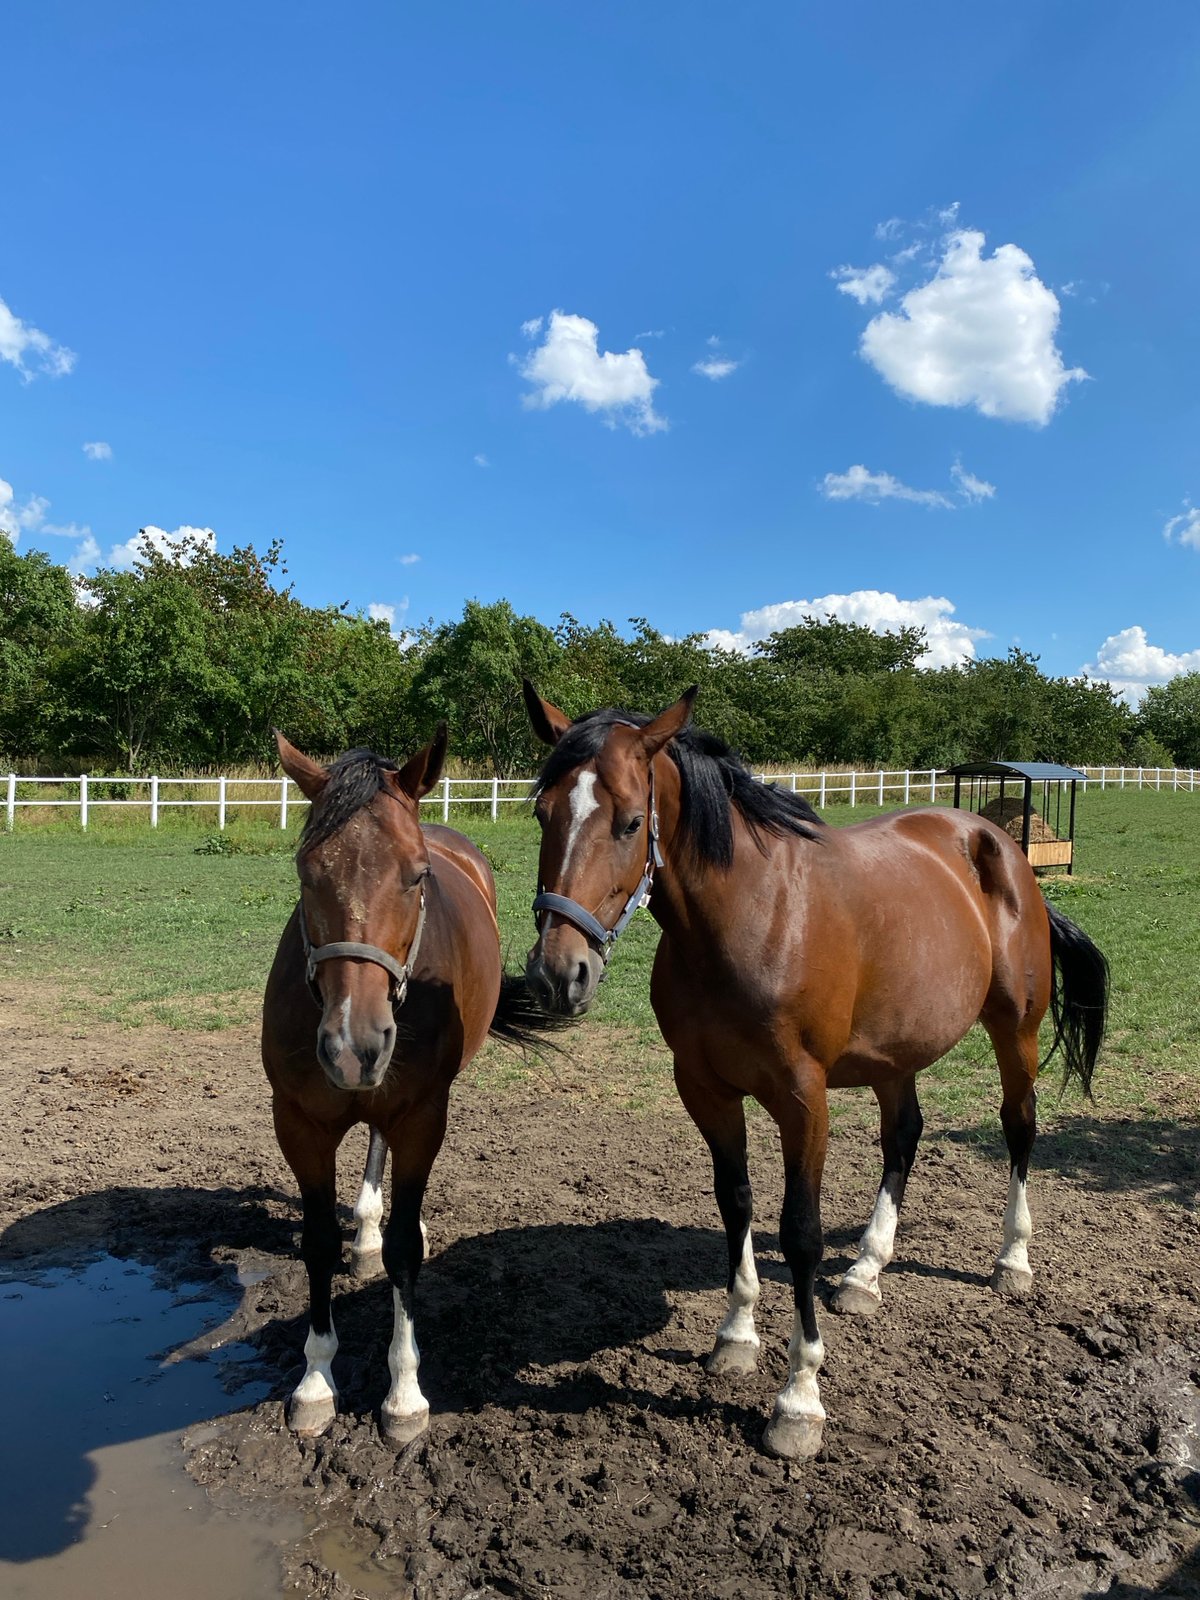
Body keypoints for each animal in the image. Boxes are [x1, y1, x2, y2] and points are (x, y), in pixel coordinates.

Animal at [262, 727, 557, 1443]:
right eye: (306, 871)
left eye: (416, 874)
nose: (353, 1044)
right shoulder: (299, 1125)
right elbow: (317, 1242)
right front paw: (315, 1381)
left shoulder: (422, 1118)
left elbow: (404, 1252)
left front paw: (403, 1393)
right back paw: (365, 1226)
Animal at [521, 683, 1108, 1460]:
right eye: (542, 813)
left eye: (631, 822)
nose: (559, 976)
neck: (750, 917)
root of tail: (998, 843)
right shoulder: (705, 1089)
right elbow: (735, 1203)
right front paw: (736, 1337)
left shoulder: (803, 1099)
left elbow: (799, 1230)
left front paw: (799, 1400)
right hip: (895, 1054)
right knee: (903, 1138)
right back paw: (865, 1271)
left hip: (1016, 1030)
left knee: (1019, 1129)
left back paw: (1012, 1261)